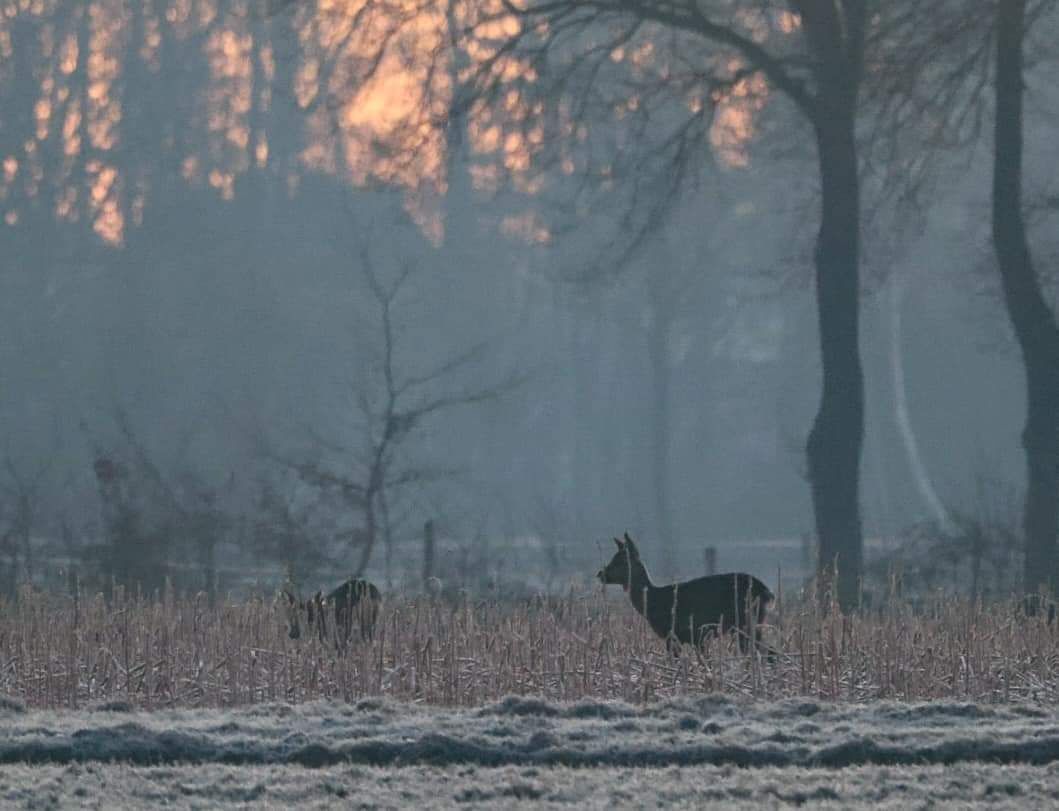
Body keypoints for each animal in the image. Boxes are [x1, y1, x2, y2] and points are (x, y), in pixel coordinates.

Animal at [597, 532, 775, 657]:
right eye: (614, 557)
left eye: (621, 561)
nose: (600, 574)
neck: (655, 602)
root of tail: (766, 591)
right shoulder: (695, 637)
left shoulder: (679, 634)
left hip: (747, 620)